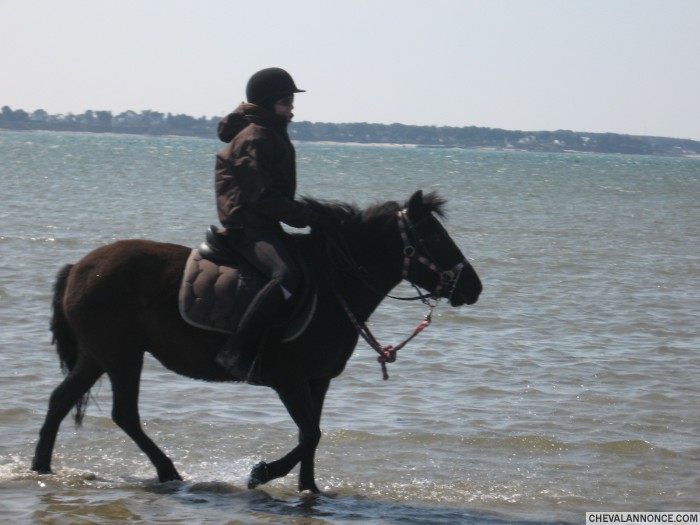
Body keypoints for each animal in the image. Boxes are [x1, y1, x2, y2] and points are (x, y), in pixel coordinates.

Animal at [31, 190, 482, 494]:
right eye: (435, 238)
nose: (474, 287)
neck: (333, 284)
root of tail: (79, 267)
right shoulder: (288, 379)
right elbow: (311, 434)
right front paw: (261, 472)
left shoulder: (317, 381)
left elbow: (311, 435)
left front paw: (309, 489)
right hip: (122, 354)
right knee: (124, 414)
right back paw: (168, 472)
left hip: (98, 355)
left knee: (61, 400)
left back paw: (41, 468)